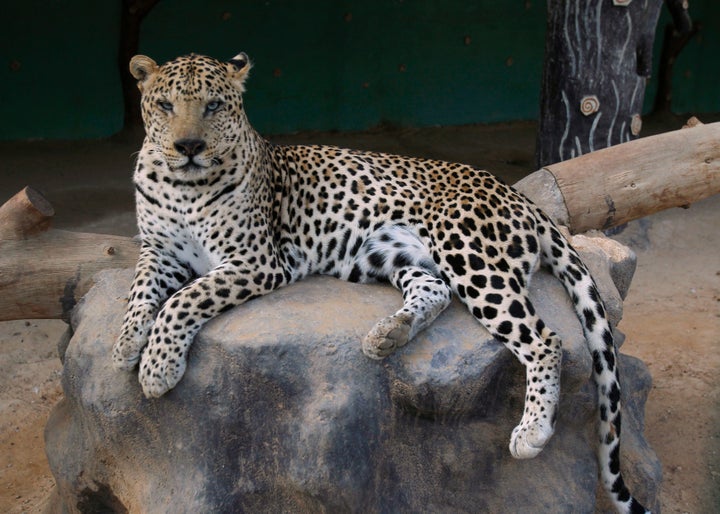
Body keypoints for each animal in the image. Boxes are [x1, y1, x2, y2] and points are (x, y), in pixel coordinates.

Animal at [112, 52, 652, 512]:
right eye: (165, 105)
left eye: (214, 106)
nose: (188, 147)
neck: (181, 186)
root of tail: (518, 195)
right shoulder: (156, 249)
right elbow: (140, 293)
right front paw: (126, 345)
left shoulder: (255, 259)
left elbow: (185, 298)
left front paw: (157, 368)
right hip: (387, 253)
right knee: (436, 290)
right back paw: (386, 336)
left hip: (467, 252)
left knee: (543, 338)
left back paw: (532, 431)